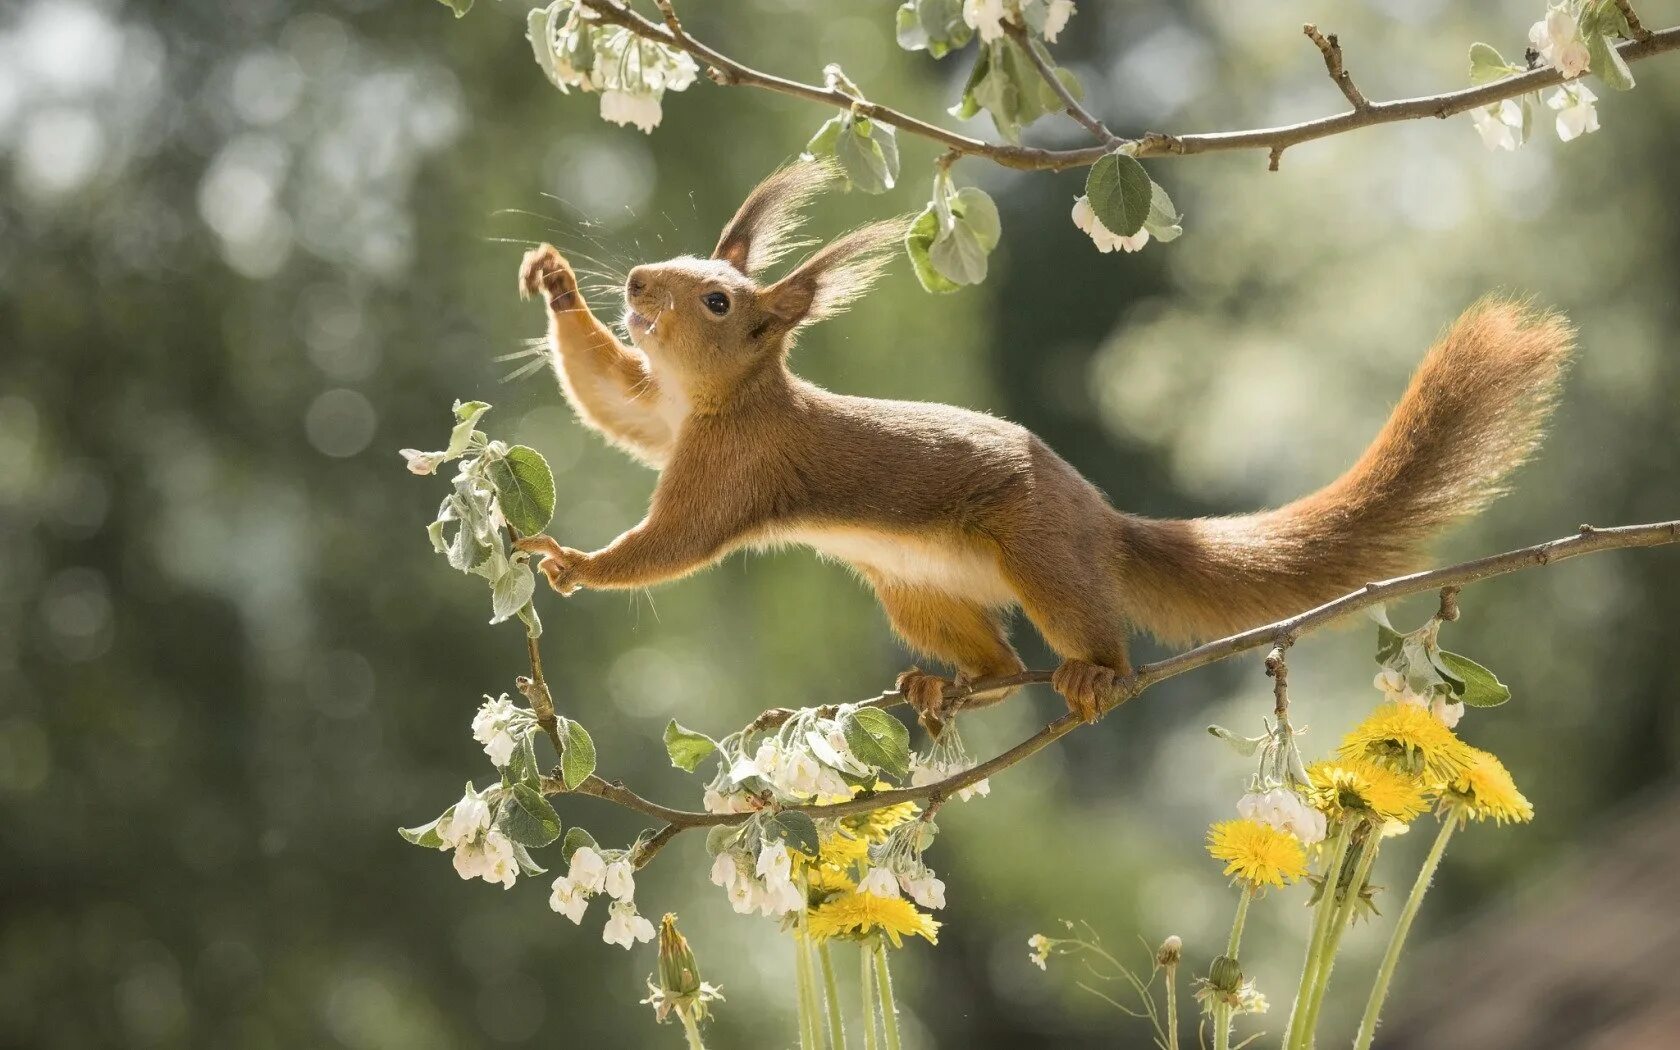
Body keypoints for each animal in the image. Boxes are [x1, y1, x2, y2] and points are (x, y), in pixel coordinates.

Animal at [510, 162, 1572, 729]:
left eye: (718, 300)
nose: (635, 284)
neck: (718, 398)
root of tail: (1100, 518)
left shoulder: (731, 469)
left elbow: (671, 545)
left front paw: (572, 562)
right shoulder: (661, 418)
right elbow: (611, 401)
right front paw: (553, 280)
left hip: (1041, 557)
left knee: (1083, 639)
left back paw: (1096, 674)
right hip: (916, 592)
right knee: (997, 662)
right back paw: (951, 687)